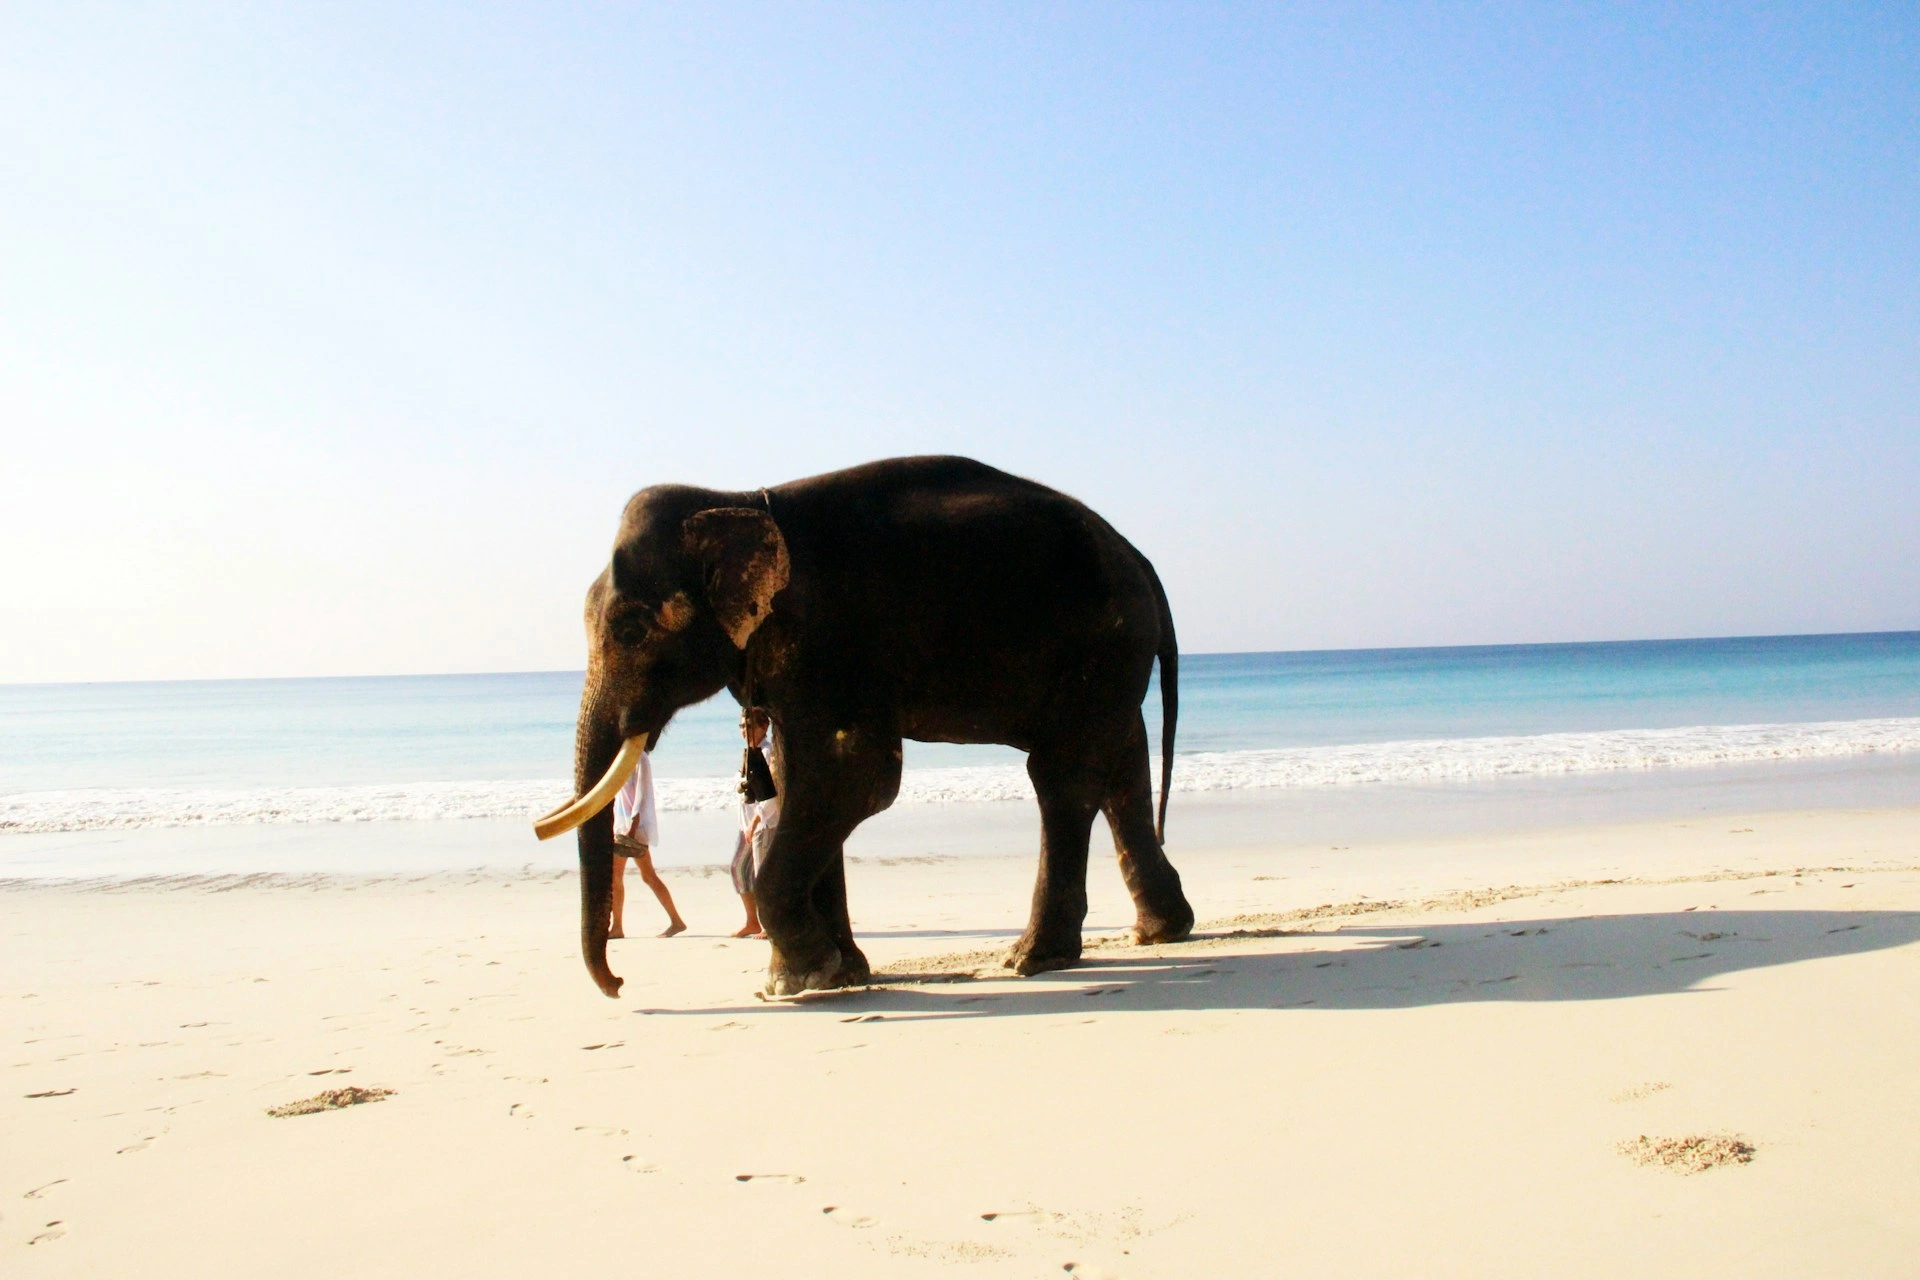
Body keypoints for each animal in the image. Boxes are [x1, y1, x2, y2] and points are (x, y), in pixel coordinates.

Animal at [535, 455, 1195, 997]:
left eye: (629, 630)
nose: (619, 984)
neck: (739, 498)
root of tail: (1141, 560)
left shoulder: (830, 642)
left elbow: (854, 780)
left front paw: (801, 980)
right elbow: (797, 781)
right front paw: (834, 975)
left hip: (1100, 643)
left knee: (1062, 777)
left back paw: (1031, 960)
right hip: (1113, 657)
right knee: (1120, 770)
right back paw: (1159, 933)